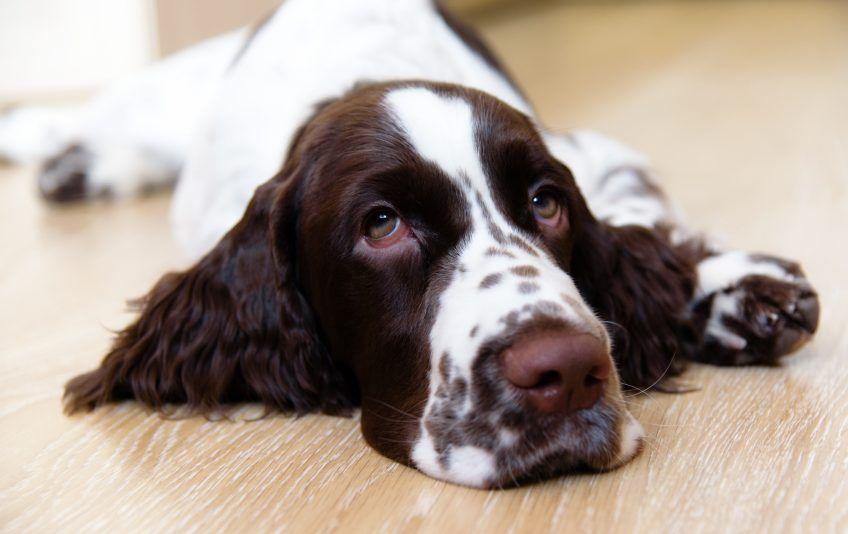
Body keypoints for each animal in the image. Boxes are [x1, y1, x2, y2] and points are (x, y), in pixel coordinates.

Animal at [1, 0, 820, 490]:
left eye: (545, 202)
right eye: (382, 224)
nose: (567, 370)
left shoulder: (591, 154)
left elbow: (643, 230)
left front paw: (737, 291)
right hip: (164, 95)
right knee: (98, 113)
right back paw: (64, 153)